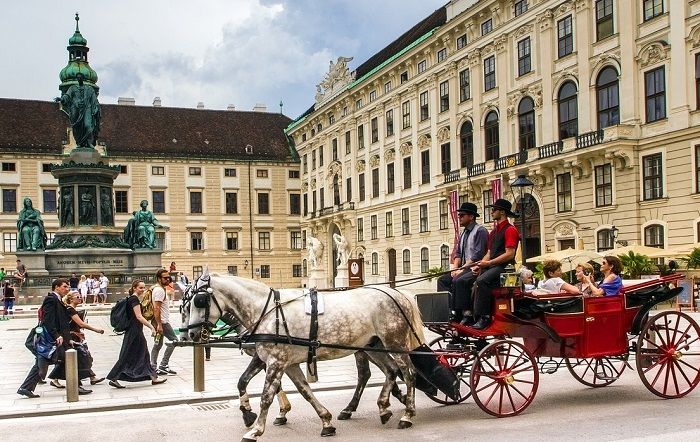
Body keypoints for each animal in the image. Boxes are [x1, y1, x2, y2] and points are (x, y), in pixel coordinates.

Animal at [185, 270, 426, 442]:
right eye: (185, 306)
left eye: (199, 301)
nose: (191, 334)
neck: (267, 311)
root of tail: (396, 293)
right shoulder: (282, 362)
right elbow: (302, 390)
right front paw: (325, 421)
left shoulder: (276, 361)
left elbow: (266, 397)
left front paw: (256, 430)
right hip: (373, 346)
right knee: (389, 371)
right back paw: (383, 407)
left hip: (394, 343)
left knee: (408, 373)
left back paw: (407, 413)